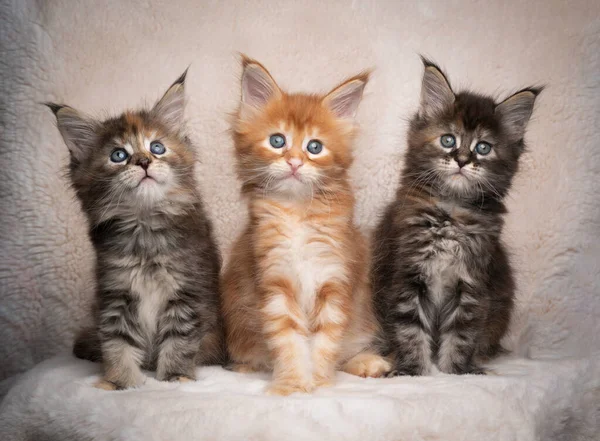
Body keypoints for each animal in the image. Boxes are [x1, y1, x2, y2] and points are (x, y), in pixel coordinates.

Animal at [48, 69, 223, 388]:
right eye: (118, 155)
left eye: (157, 148)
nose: (143, 161)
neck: (145, 228)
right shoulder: (115, 292)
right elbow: (117, 342)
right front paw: (121, 382)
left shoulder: (187, 290)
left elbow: (179, 340)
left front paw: (175, 376)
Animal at [223, 55, 392, 396]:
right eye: (277, 141)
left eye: (314, 147)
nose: (295, 162)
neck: (298, 210)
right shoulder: (274, 278)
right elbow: (288, 339)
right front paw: (292, 384)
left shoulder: (335, 277)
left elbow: (326, 341)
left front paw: (321, 384)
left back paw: (368, 363)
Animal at [372, 57, 540, 374]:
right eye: (448, 140)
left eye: (483, 147)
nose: (462, 160)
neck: (451, 210)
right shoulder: (407, 273)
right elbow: (408, 328)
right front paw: (412, 369)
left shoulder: (473, 282)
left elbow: (463, 332)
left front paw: (457, 372)